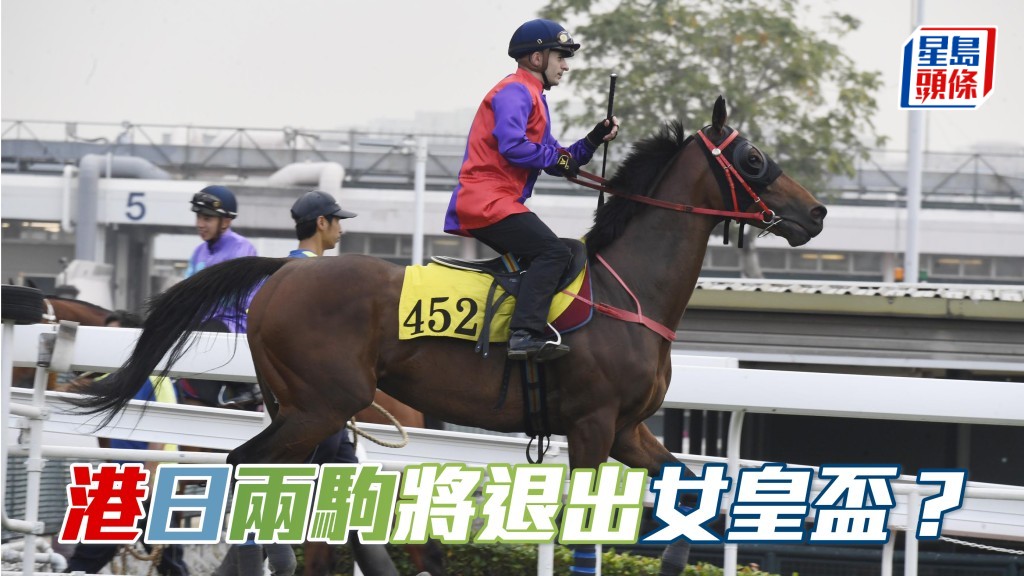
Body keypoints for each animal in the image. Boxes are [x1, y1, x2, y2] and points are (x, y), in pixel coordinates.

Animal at [75, 97, 825, 565]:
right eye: (754, 160)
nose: (816, 213)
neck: (625, 291)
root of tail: (284, 272)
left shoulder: (628, 431)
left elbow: (704, 505)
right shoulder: (591, 427)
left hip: (303, 409)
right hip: (320, 405)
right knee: (237, 471)